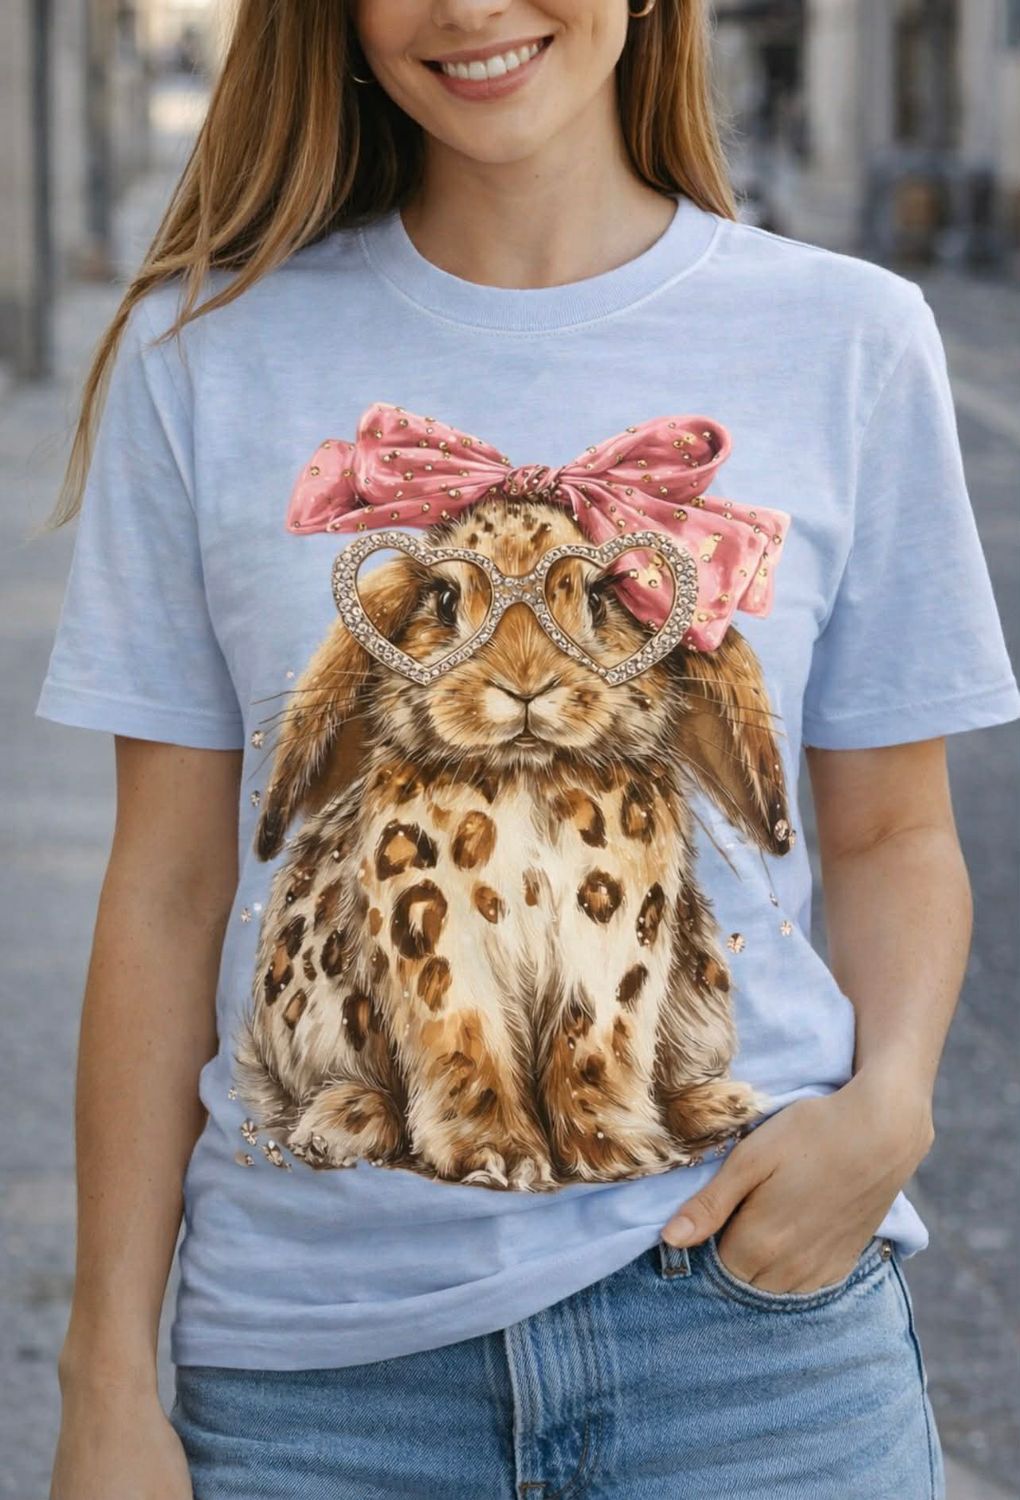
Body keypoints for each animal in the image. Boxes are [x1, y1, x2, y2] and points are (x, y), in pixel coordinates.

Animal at [232, 495, 793, 1191]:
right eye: (445, 600)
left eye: (601, 598)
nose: (525, 684)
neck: (526, 774)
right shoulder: (435, 937)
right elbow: (466, 1039)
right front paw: (493, 1155)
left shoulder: (609, 941)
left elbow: (595, 1043)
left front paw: (611, 1148)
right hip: (316, 1004)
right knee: (337, 1082)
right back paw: (341, 1124)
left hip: (701, 988)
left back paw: (721, 1105)